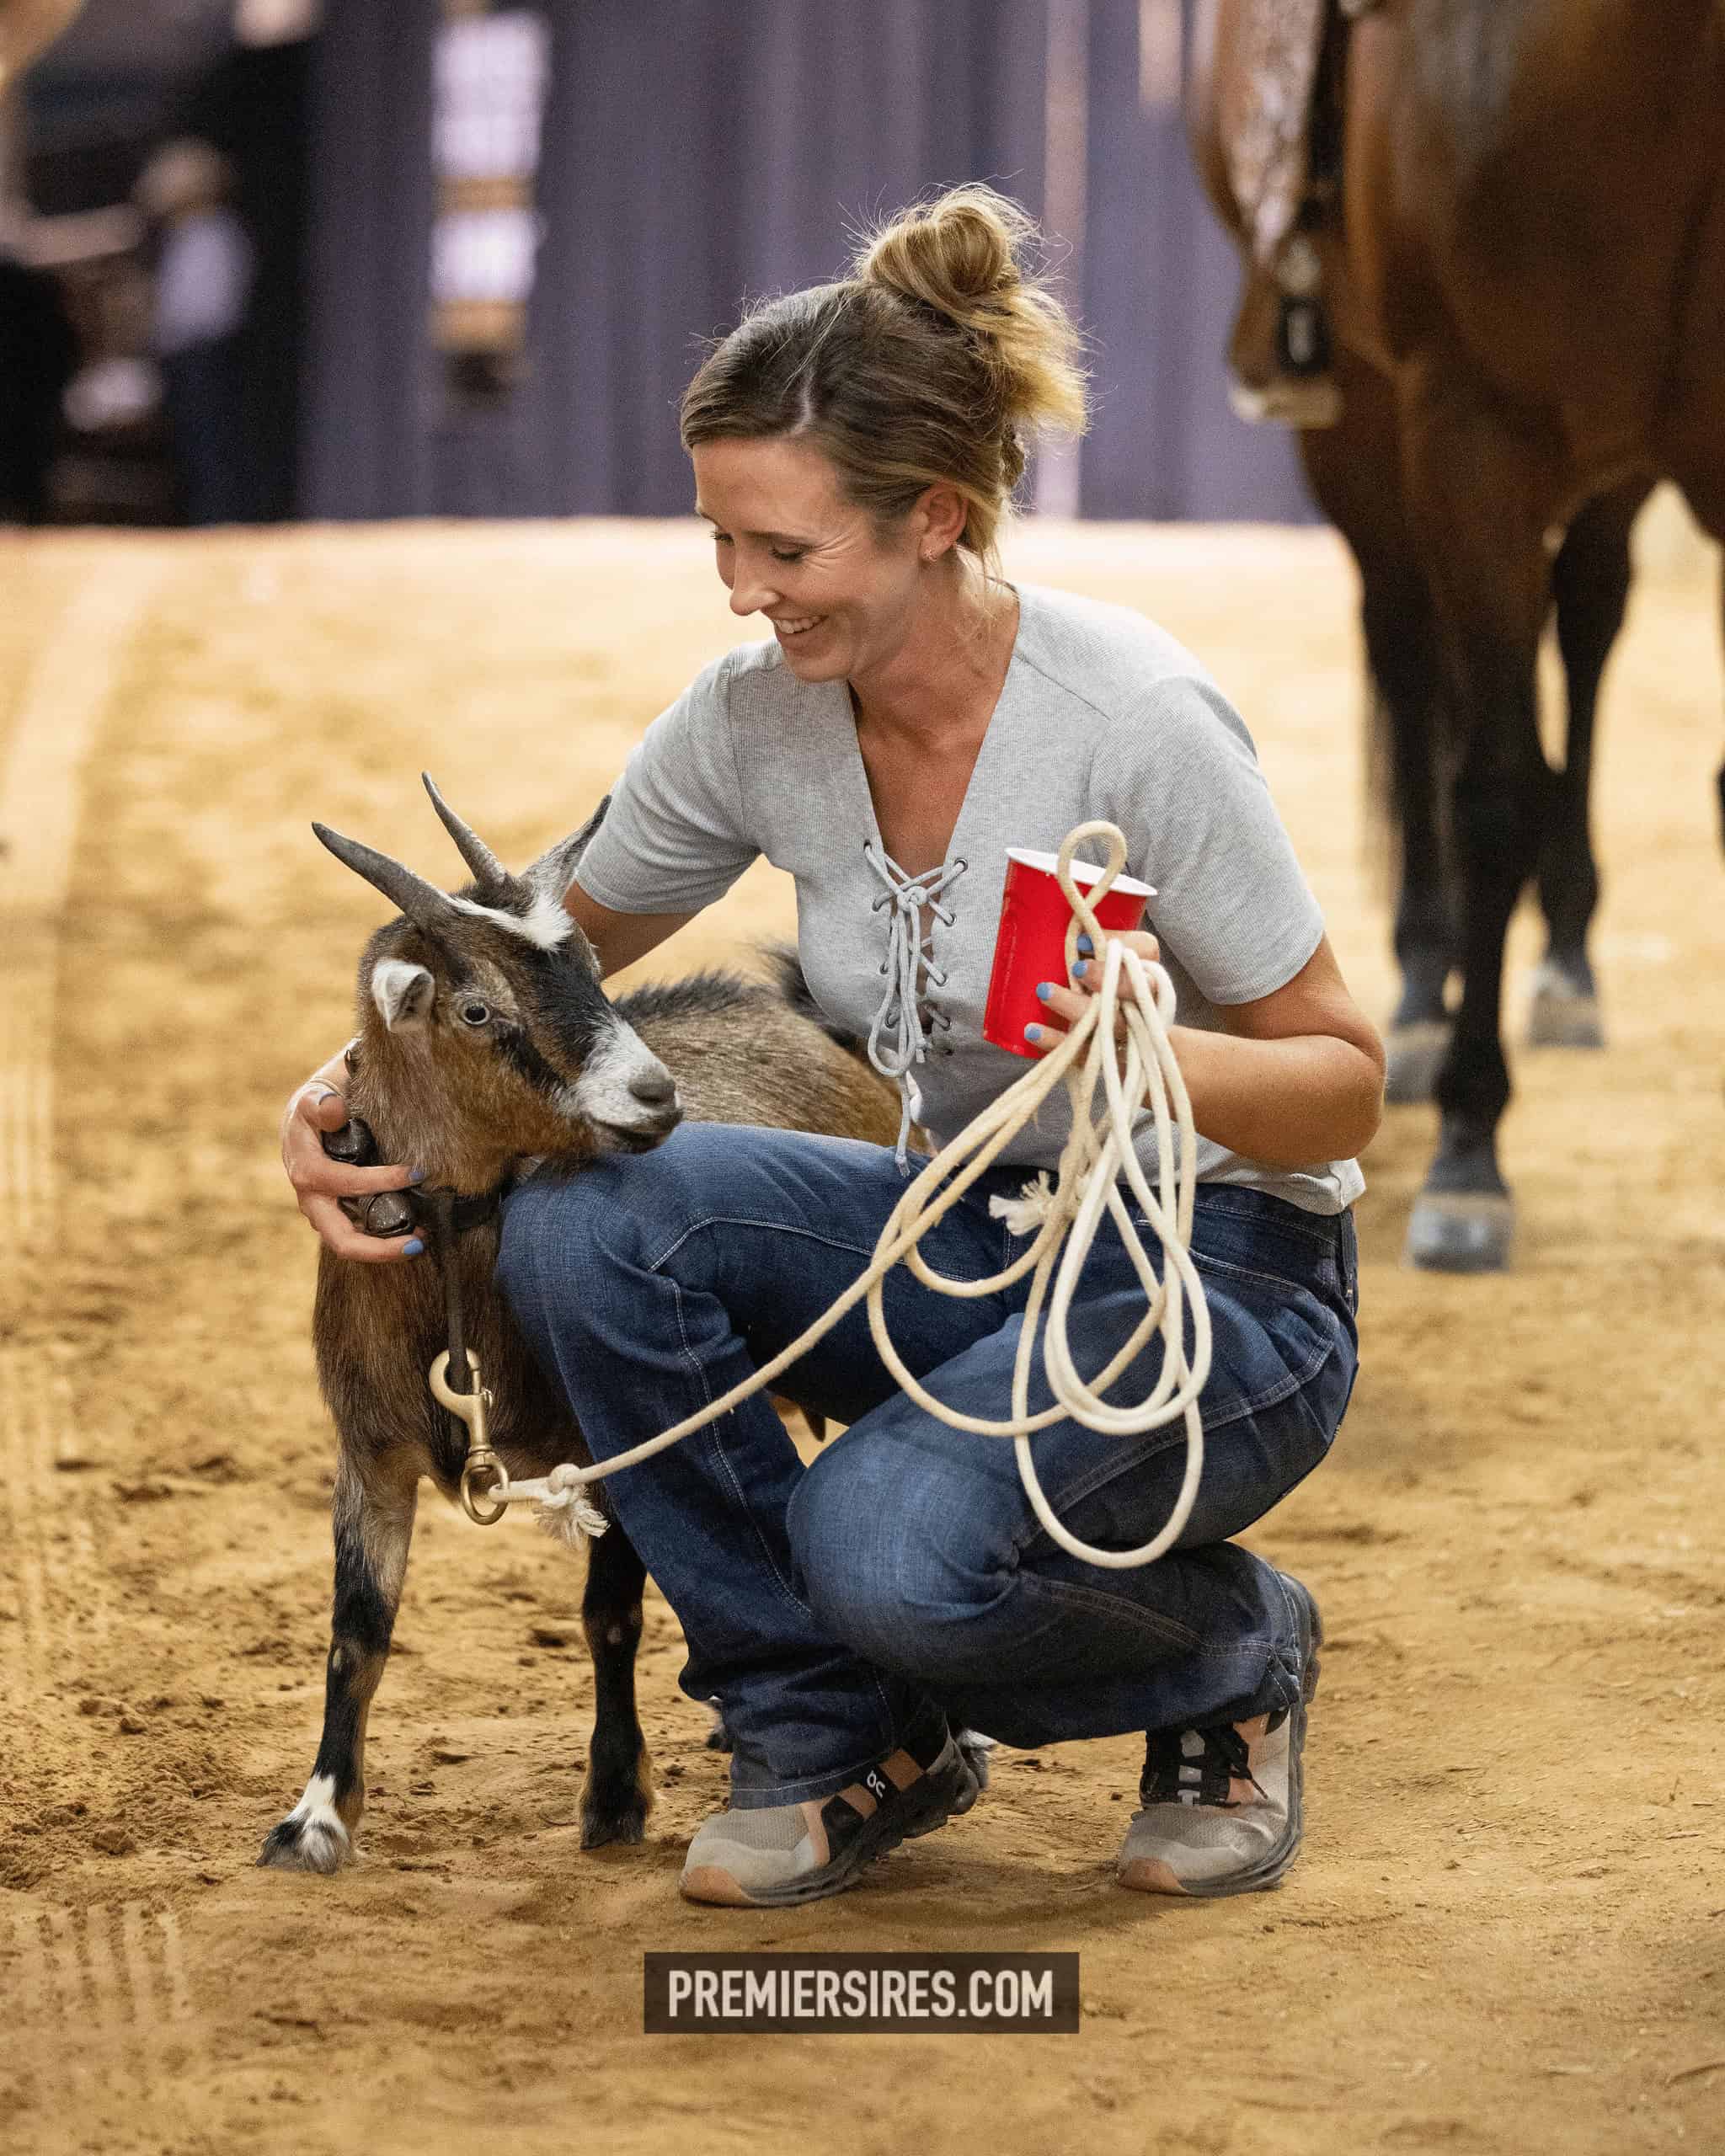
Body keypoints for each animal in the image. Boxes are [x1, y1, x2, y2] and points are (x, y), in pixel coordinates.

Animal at [259, 780, 902, 1873]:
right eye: (478, 1007)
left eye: (593, 973)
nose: (655, 1096)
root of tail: (813, 1028)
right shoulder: (368, 1449)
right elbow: (357, 1631)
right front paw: (316, 1817)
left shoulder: (611, 1441)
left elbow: (607, 1615)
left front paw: (612, 1795)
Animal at [1191, 0, 1724, 1271]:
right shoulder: (1469, 433)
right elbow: (1489, 793)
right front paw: (1471, 1152)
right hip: (1365, 428)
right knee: (1408, 645)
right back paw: (1425, 998)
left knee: (1586, 615)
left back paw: (1569, 958)